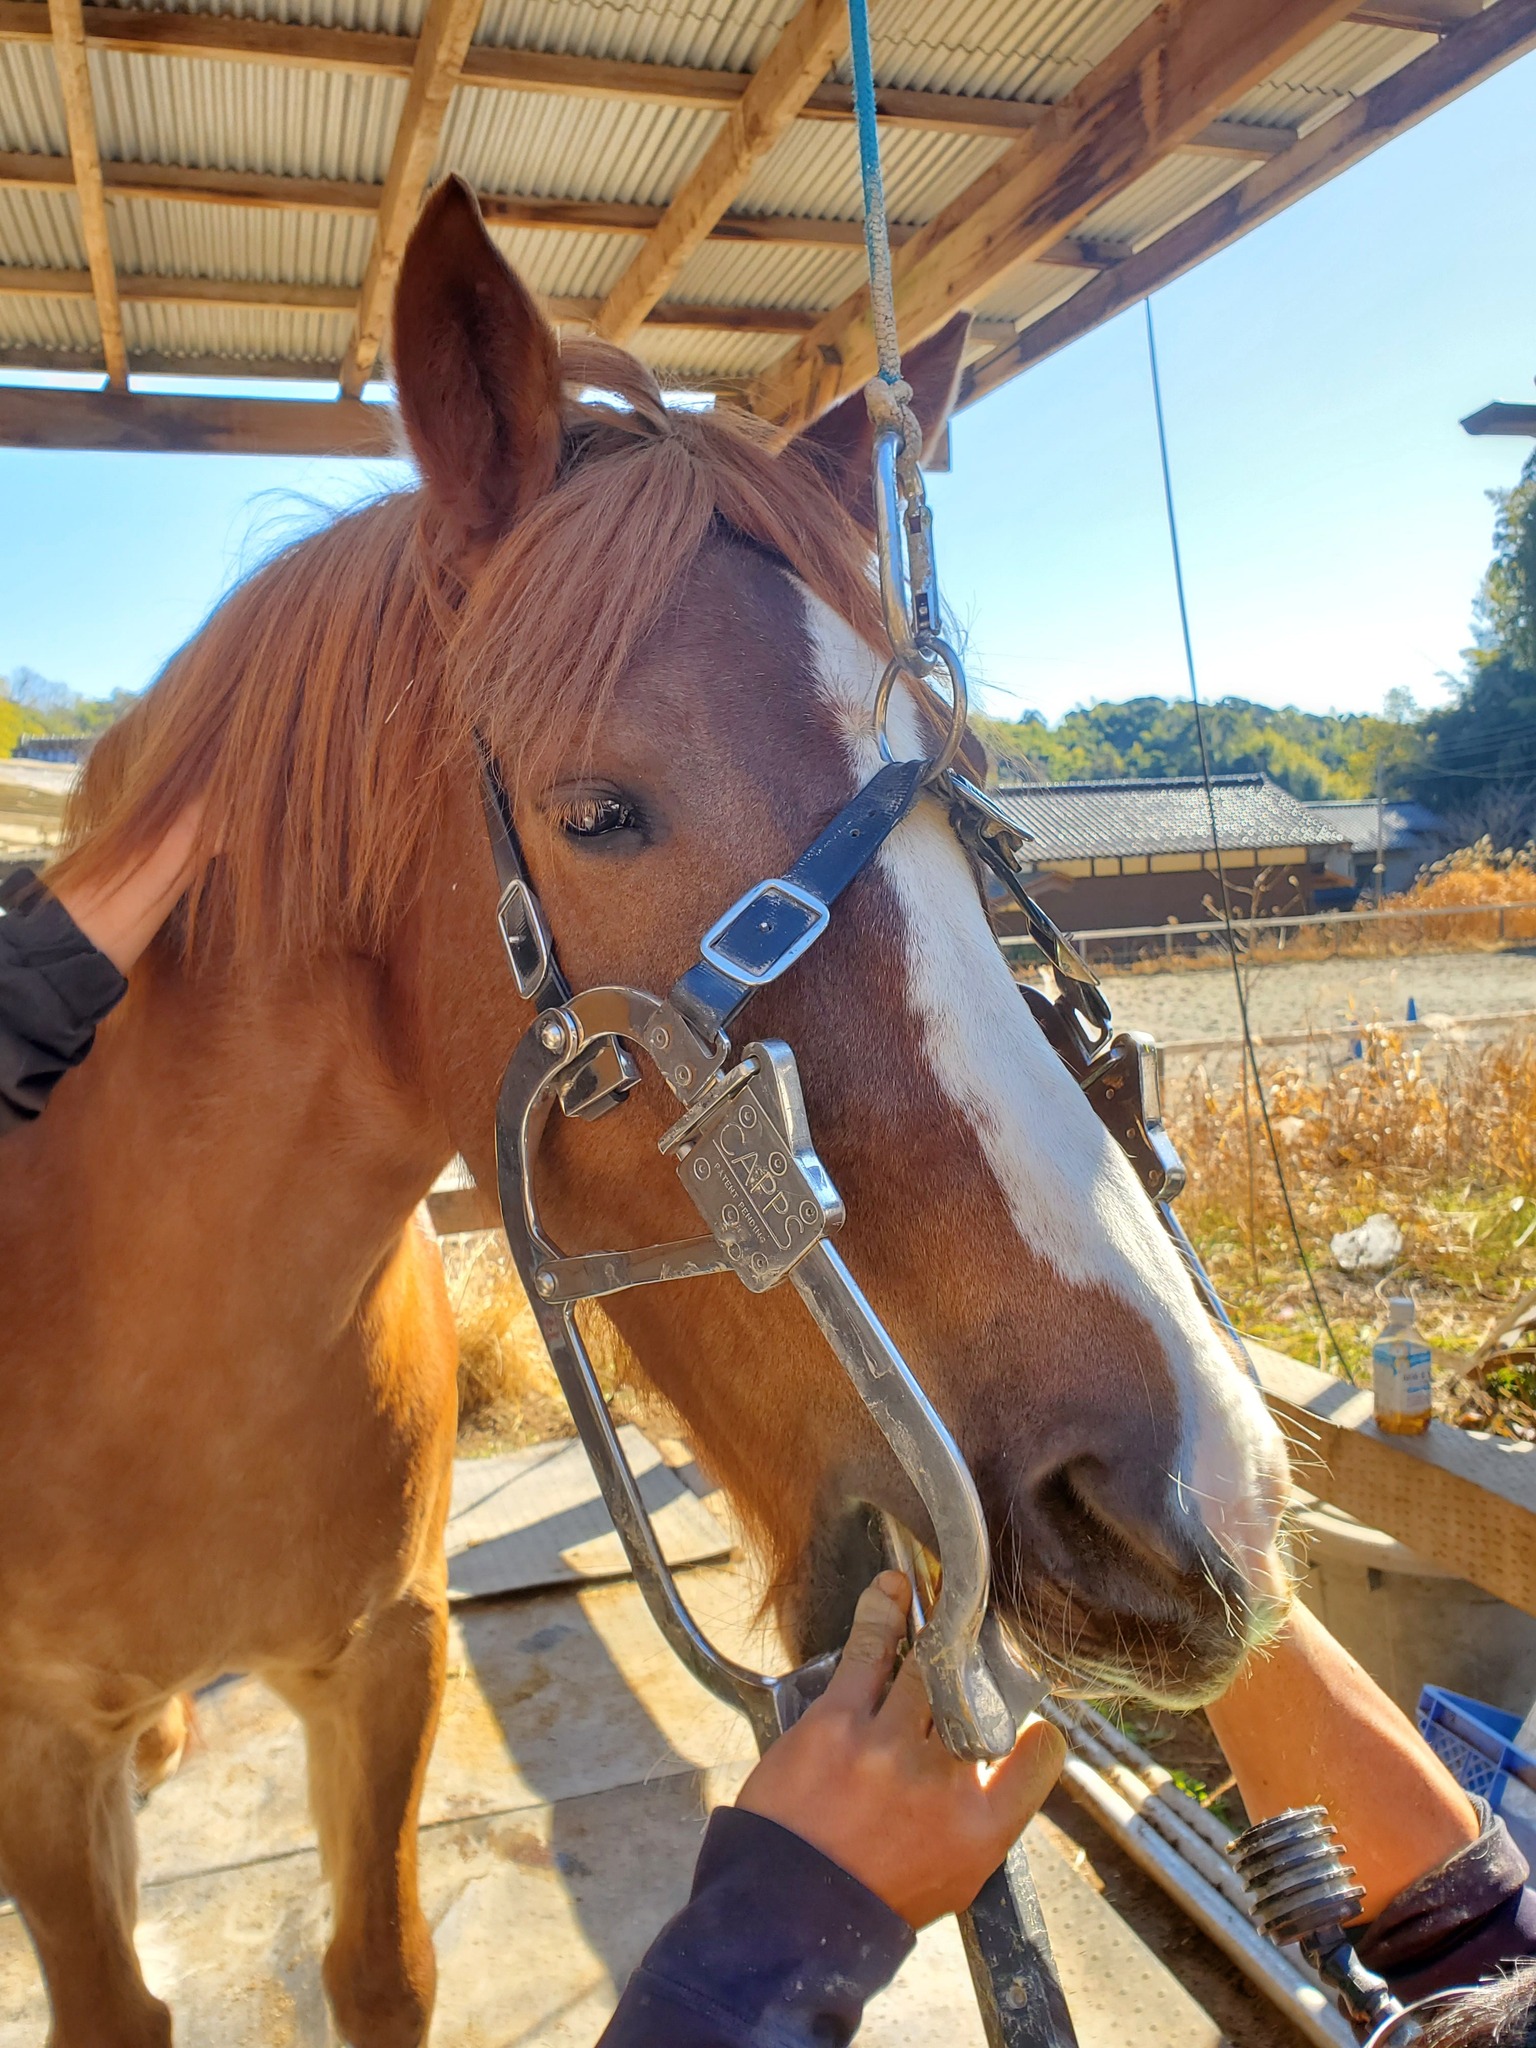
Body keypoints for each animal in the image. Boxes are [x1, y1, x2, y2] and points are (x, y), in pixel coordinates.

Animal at [0, 176, 1290, 2046]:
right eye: (599, 812)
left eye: (960, 792)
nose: (1200, 1487)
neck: (159, 1364)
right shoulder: (39, 1752)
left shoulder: (384, 1659)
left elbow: (381, 1968)